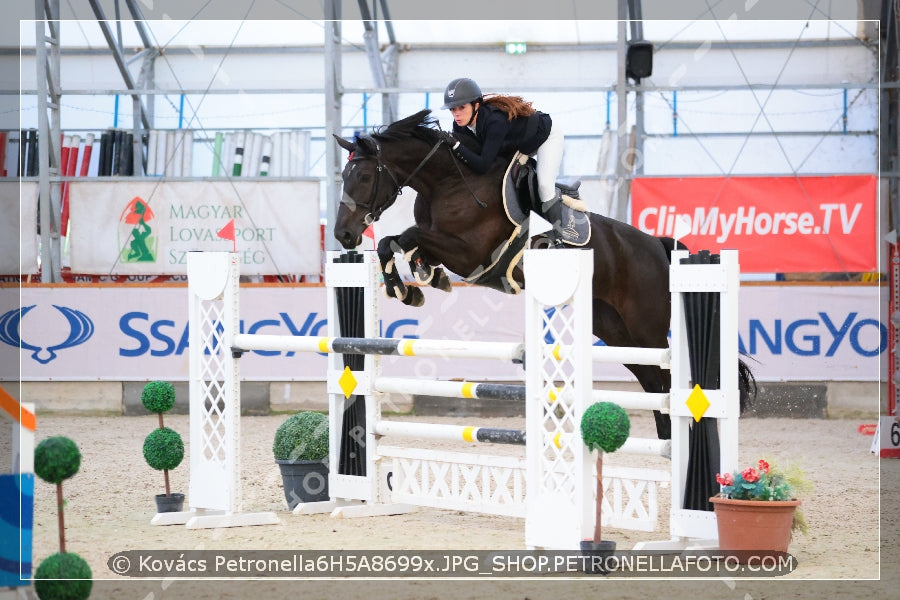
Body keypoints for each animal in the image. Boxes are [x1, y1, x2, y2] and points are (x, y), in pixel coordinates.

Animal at [332, 108, 752, 438]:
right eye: (343, 177)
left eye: (364, 177)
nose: (343, 235)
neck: (448, 183)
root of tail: (656, 246)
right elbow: (394, 244)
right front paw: (413, 284)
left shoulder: (470, 254)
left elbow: (405, 237)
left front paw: (412, 285)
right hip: (616, 331)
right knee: (653, 385)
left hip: (646, 329)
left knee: (666, 383)